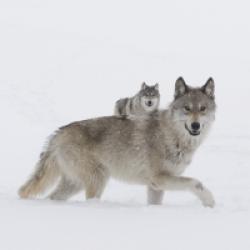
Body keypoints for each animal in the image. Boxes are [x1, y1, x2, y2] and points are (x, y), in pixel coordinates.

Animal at [18, 77, 216, 207]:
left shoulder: (155, 186)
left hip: (75, 183)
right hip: (98, 179)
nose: (196, 125)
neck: (173, 135)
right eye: (187, 108)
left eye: (203, 109)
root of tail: (58, 133)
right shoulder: (159, 179)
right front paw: (210, 201)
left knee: (52, 198)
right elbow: (196, 182)